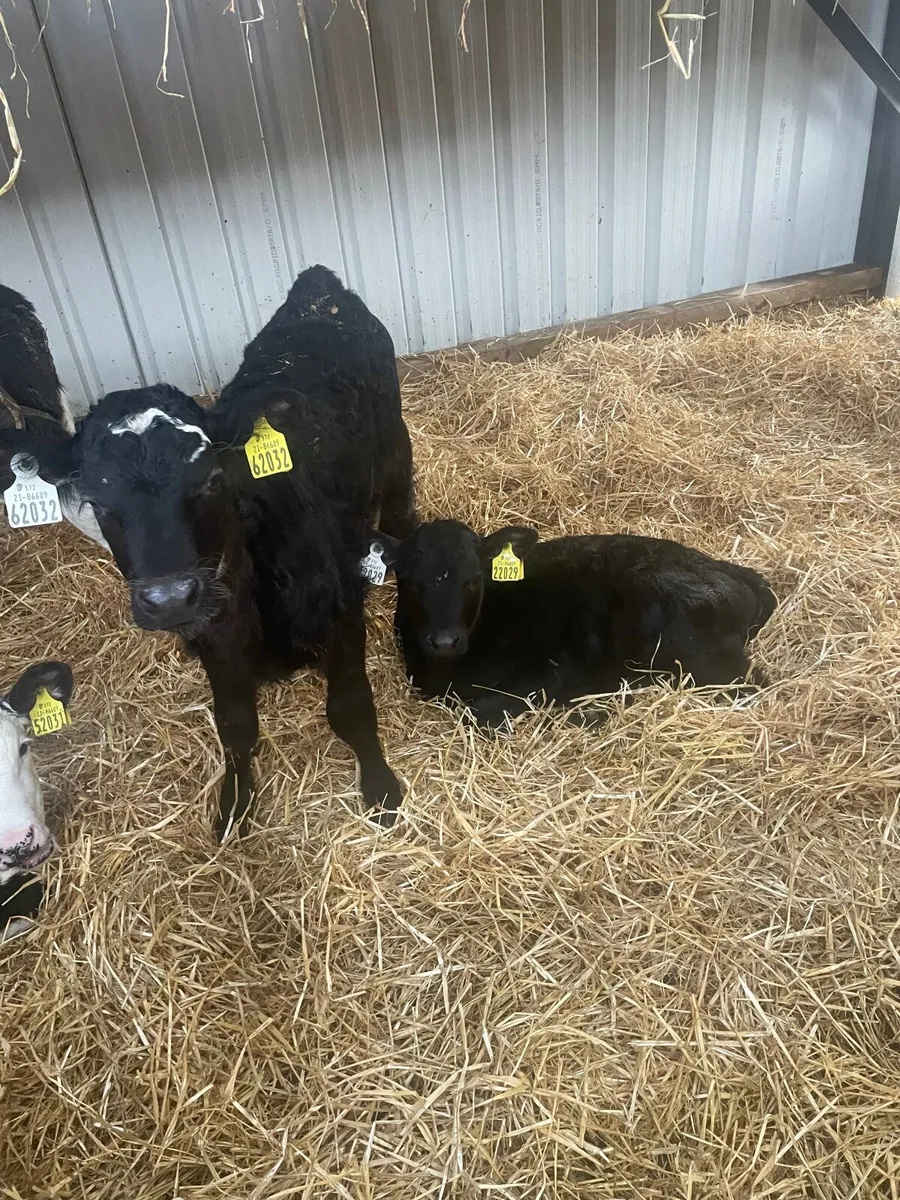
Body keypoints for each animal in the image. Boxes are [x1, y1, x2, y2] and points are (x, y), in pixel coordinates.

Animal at [8, 266, 416, 840]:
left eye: (211, 479)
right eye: (97, 499)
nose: (169, 598)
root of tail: (318, 290)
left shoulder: (339, 610)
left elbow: (350, 708)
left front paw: (381, 790)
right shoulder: (214, 639)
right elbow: (235, 724)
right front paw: (235, 804)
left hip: (396, 451)